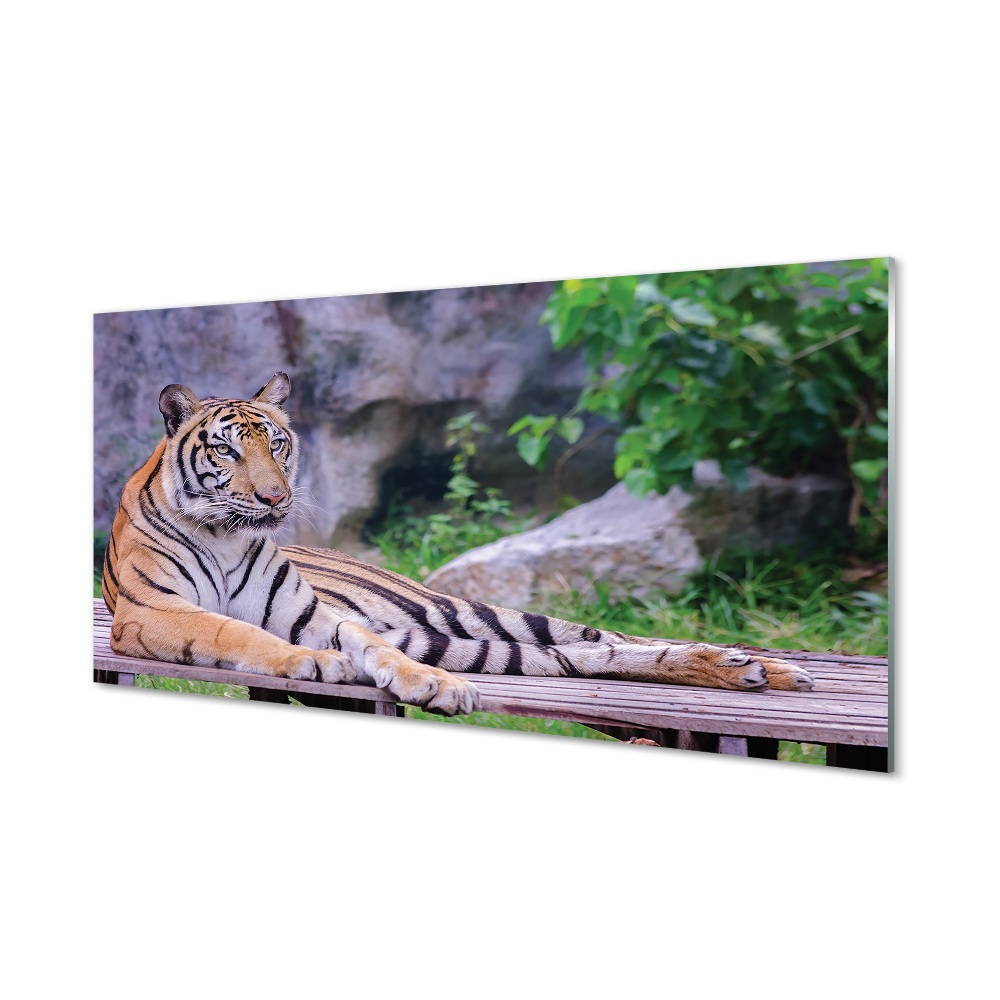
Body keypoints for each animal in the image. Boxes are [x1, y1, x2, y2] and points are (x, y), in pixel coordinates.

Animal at [101, 372, 814, 715]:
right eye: (226, 449)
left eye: (276, 443)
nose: (275, 498)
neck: (227, 539)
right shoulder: (151, 614)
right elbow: (238, 632)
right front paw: (314, 665)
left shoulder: (317, 617)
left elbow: (372, 646)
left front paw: (435, 688)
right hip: (469, 638)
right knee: (585, 657)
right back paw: (754, 671)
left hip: (463, 613)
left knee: (611, 641)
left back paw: (761, 667)